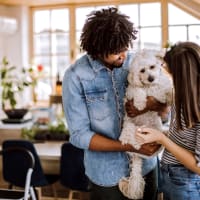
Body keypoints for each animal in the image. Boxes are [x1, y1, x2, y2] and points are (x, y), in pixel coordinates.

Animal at [118, 48, 173, 200]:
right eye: (142, 70)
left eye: (152, 67)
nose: (151, 78)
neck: (149, 86)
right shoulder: (131, 91)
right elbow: (138, 90)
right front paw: (140, 103)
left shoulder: (160, 88)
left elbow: (164, 89)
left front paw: (169, 94)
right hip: (129, 126)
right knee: (129, 136)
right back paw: (134, 142)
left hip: (158, 130)